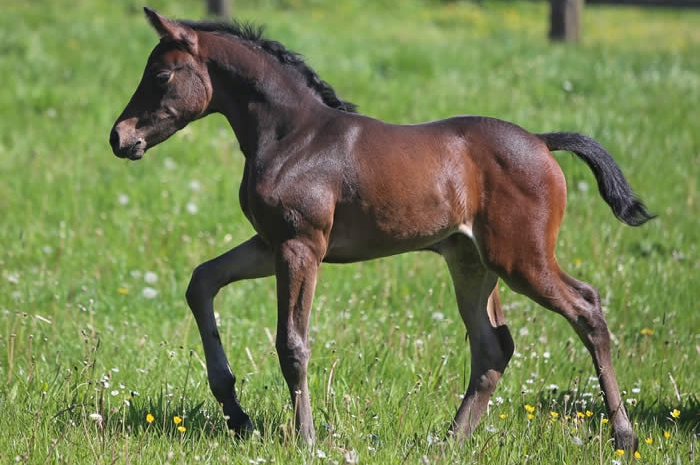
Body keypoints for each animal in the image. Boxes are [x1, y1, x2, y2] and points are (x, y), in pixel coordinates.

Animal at [109, 7, 652, 450]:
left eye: (161, 73)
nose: (119, 137)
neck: (294, 137)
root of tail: (541, 141)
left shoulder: (300, 245)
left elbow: (292, 342)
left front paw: (305, 438)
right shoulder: (270, 243)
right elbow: (201, 282)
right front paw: (236, 413)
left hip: (521, 259)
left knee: (587, 310)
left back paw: (623, 435)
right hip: (471, 262)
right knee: (493, 347)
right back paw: (448, 440)